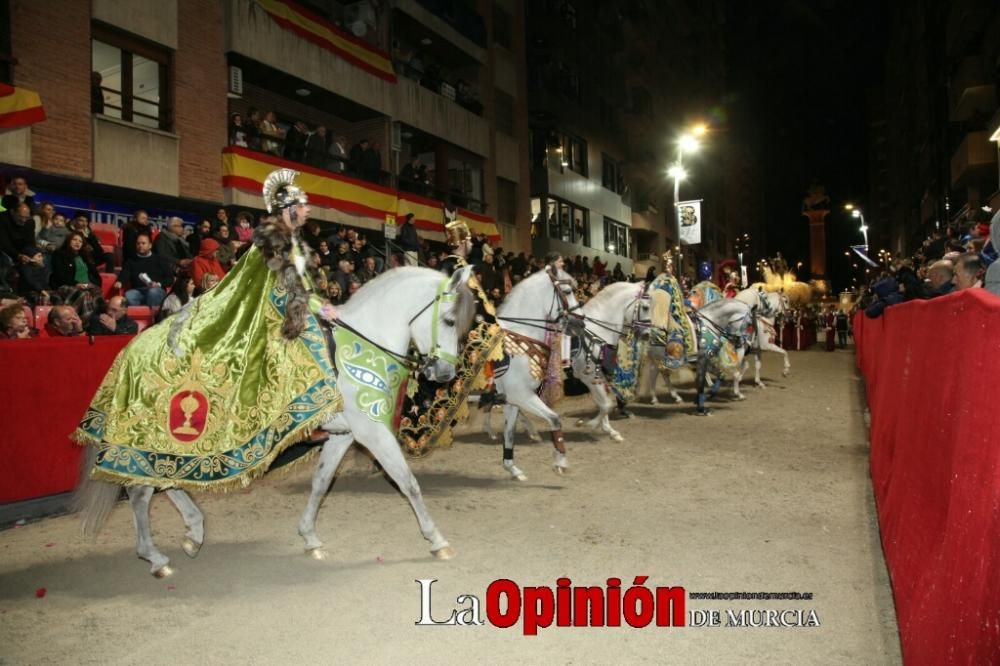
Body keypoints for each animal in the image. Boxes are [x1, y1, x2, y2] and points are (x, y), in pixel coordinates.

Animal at [78, 266, 476, 576]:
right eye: (449, 319)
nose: (443, 374)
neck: (358, 347)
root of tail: (133, 347)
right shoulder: (373, 433)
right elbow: (408, 483)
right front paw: (437, 540)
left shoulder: (343, 435)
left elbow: (321, 482)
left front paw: (310, 538)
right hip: (154, 434)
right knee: (141, 490)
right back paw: (156, 557)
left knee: (166, 481)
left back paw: (193, 533)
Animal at [488, 264, 584, 478]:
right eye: (568, 291)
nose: (581, 323)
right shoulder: (523, 395)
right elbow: (555, 419)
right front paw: (560, 460)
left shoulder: (512, 400)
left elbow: (509, 433)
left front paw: (513, 469)